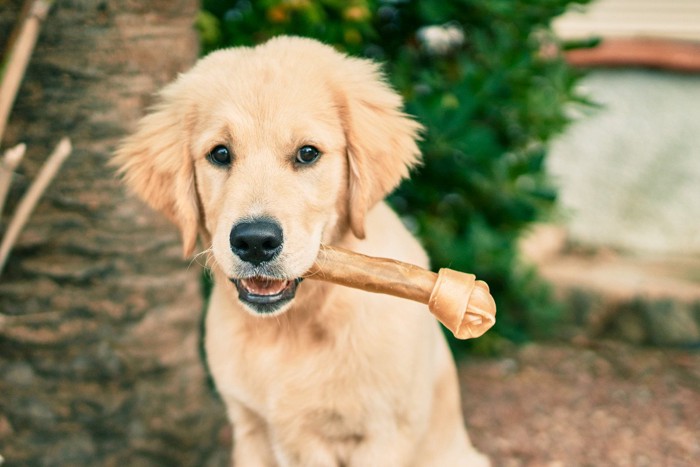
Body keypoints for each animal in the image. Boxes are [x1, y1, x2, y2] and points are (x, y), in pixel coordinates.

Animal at [113, 34, 486, 466]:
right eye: (220, 154)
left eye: (308, 153)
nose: (255, 241)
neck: (291, 328)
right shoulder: (250, 428)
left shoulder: (384, 434)